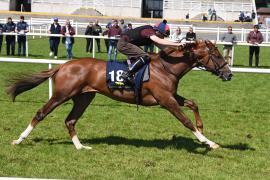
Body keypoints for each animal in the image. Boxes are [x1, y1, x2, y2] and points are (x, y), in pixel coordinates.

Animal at [7, 40, 232, 150]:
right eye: (216, 54)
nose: (229, 74)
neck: (167, 67)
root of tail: (63, 66)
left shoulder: (171, 96)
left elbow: (193, 104)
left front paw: (202, 129)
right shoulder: (166, 100)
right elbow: (186, 121)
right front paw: (208, 142)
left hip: (84, 97)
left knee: (70, 120)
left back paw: (80, 147)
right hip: (62, 94)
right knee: (41, 113)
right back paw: (19, 140)